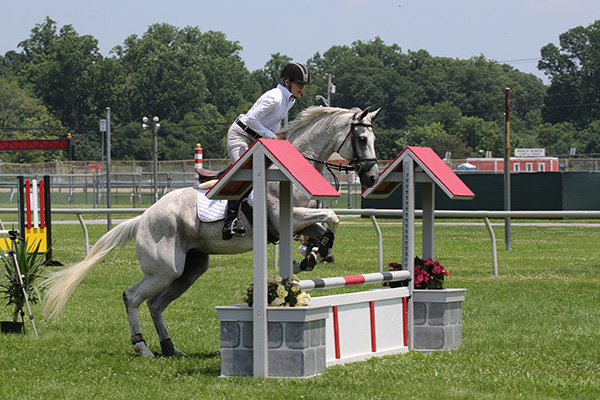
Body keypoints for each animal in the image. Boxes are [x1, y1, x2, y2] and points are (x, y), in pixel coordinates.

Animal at [42, 105, 380, 356]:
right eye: (362, 138)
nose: (372, 177)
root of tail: (145, 216)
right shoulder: (288, 218)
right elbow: (333, 217)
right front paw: (306, 258)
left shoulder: (302, 220)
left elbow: (324, 228)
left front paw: (308, 258)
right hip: (164, 269)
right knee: (132, 297)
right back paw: (142, 347)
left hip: (189, 270)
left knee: (155, 304)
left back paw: (170, 347)